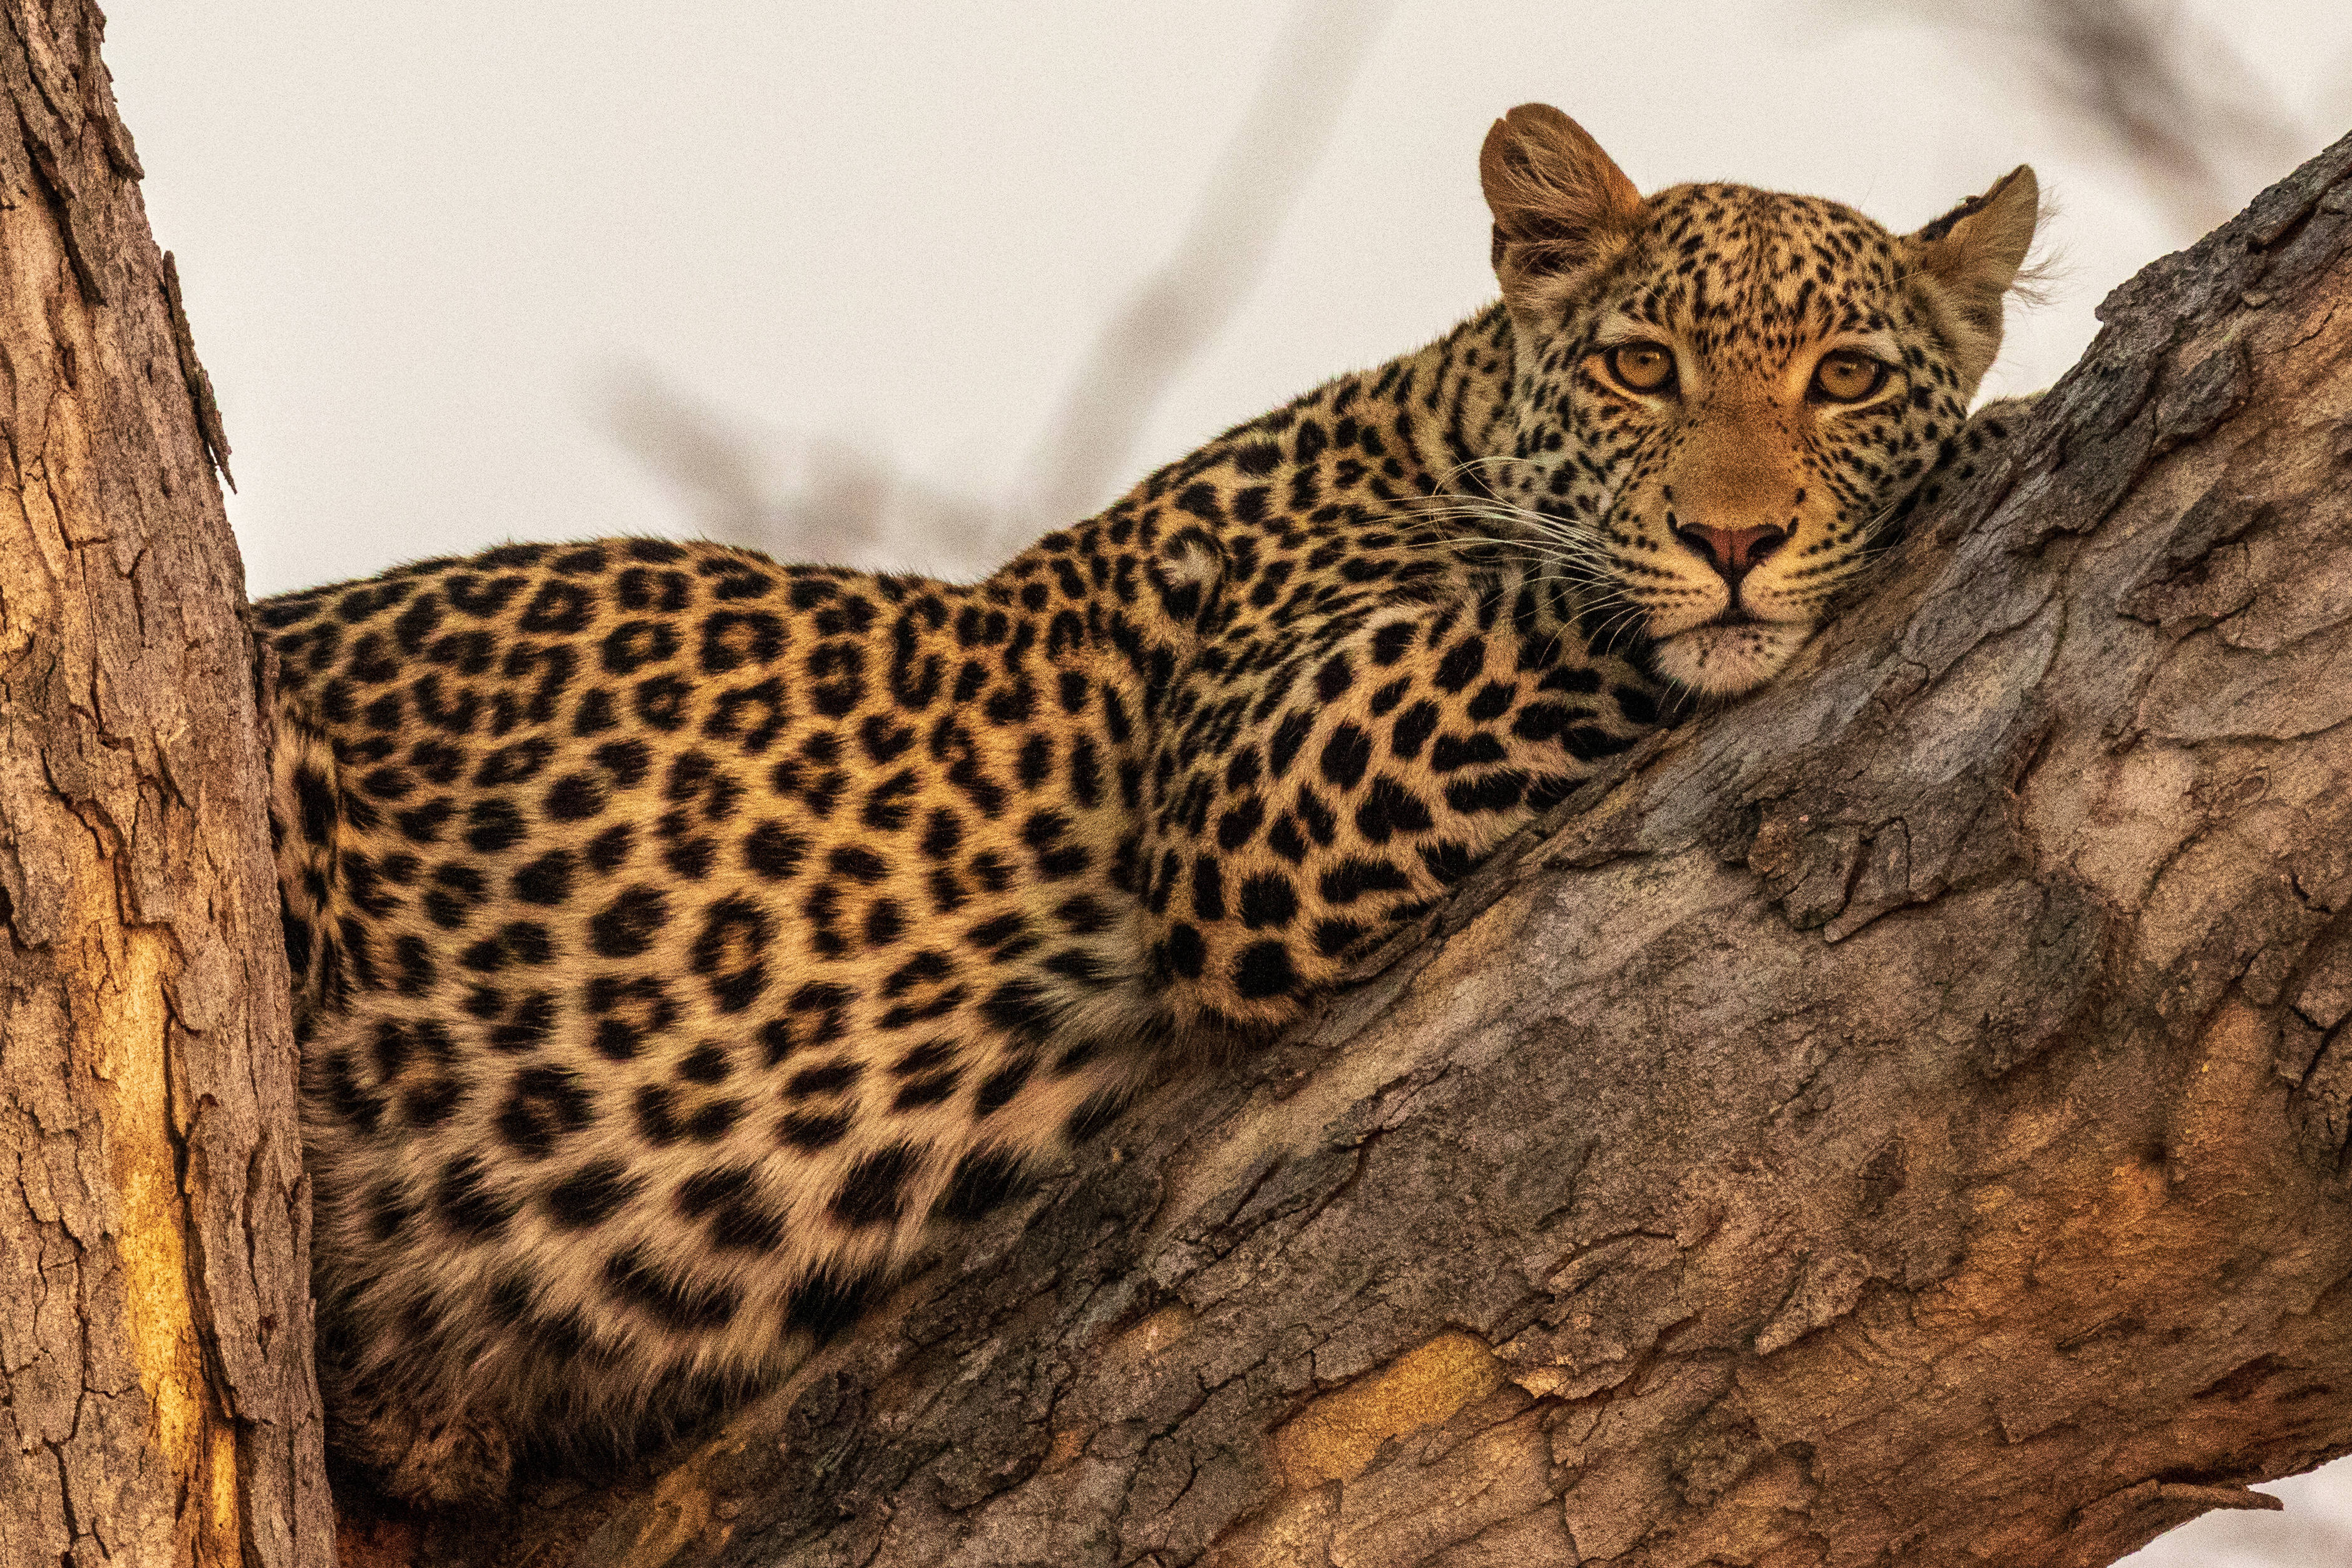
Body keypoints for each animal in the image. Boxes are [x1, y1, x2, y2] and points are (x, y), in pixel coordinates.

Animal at [256, 103, 2041, 1505]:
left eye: (1846, 377)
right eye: (1638, 365)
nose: (1732, 538)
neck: (1441, 420)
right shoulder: (1267, 776)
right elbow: (1569, 603)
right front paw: (1983, 444)